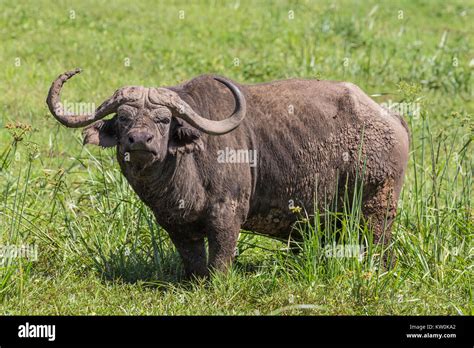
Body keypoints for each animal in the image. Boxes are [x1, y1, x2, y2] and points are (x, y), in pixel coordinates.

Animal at [49, 68, 412, 278]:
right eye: (124, 118)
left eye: (164, 120)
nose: (139, 140)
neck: (185, 172)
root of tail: (390, 117)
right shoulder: (173, 223)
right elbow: (193, 259)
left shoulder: (227, 212)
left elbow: (221, 255)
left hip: (376, 208)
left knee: (380, 245)